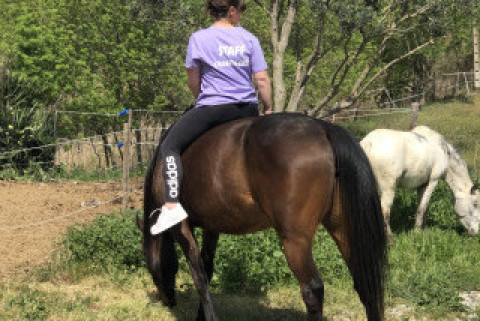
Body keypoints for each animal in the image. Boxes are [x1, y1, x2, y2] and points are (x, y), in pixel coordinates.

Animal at [137, 112, 388, 320]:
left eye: (148, 263)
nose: (167, 301)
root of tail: (323, 128)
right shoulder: (212, 227)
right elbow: (207, 269)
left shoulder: (182, 227)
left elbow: (198, 275)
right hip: (343, 228)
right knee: (365, 283)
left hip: (295, 240)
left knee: (313, 290)